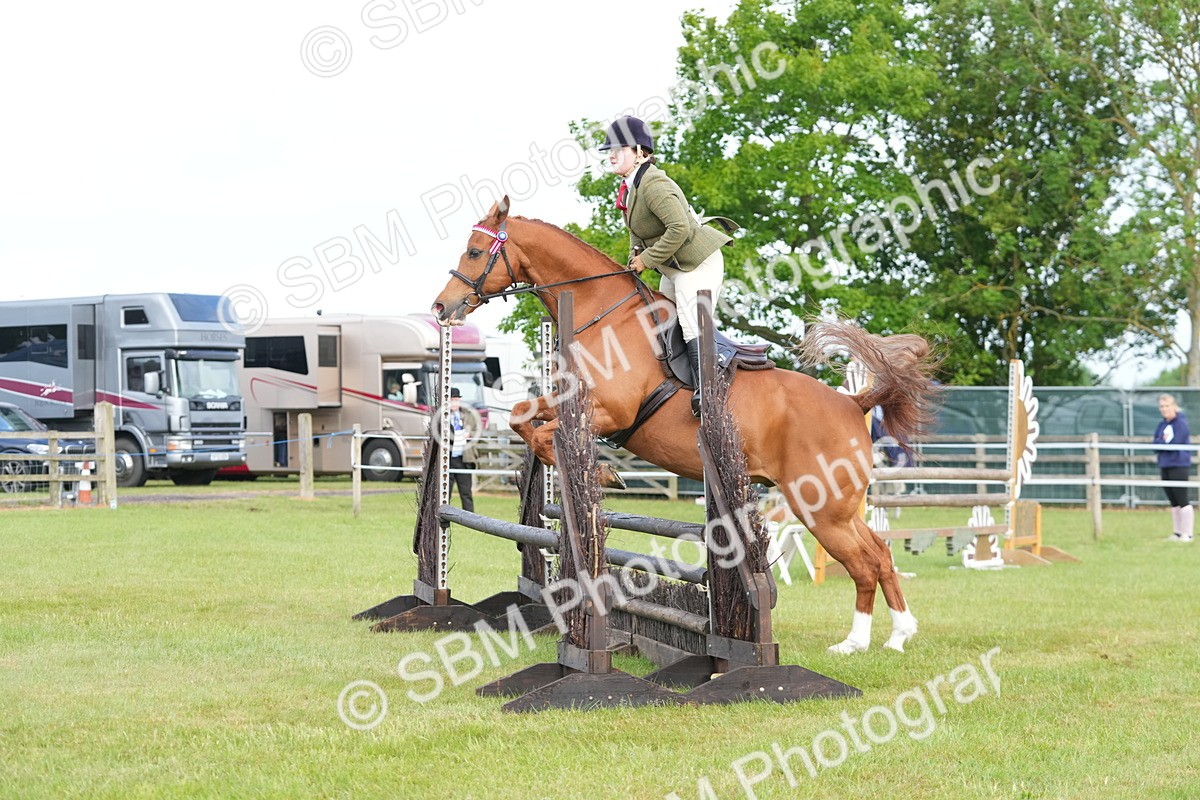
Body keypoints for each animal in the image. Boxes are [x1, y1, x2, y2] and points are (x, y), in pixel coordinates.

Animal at [431, 197, 938, 654]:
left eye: (474, 251)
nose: (441, 308)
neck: (602, 314)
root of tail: (853, 403)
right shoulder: (565, 402)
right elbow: (521, 414)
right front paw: (594, 472)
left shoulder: (610, 411)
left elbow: (540, 434)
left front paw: (601, 474)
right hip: (842, 507)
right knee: (882, 555)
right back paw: (896, 635)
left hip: (821, 507)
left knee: (865, 563)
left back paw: (856, 643)